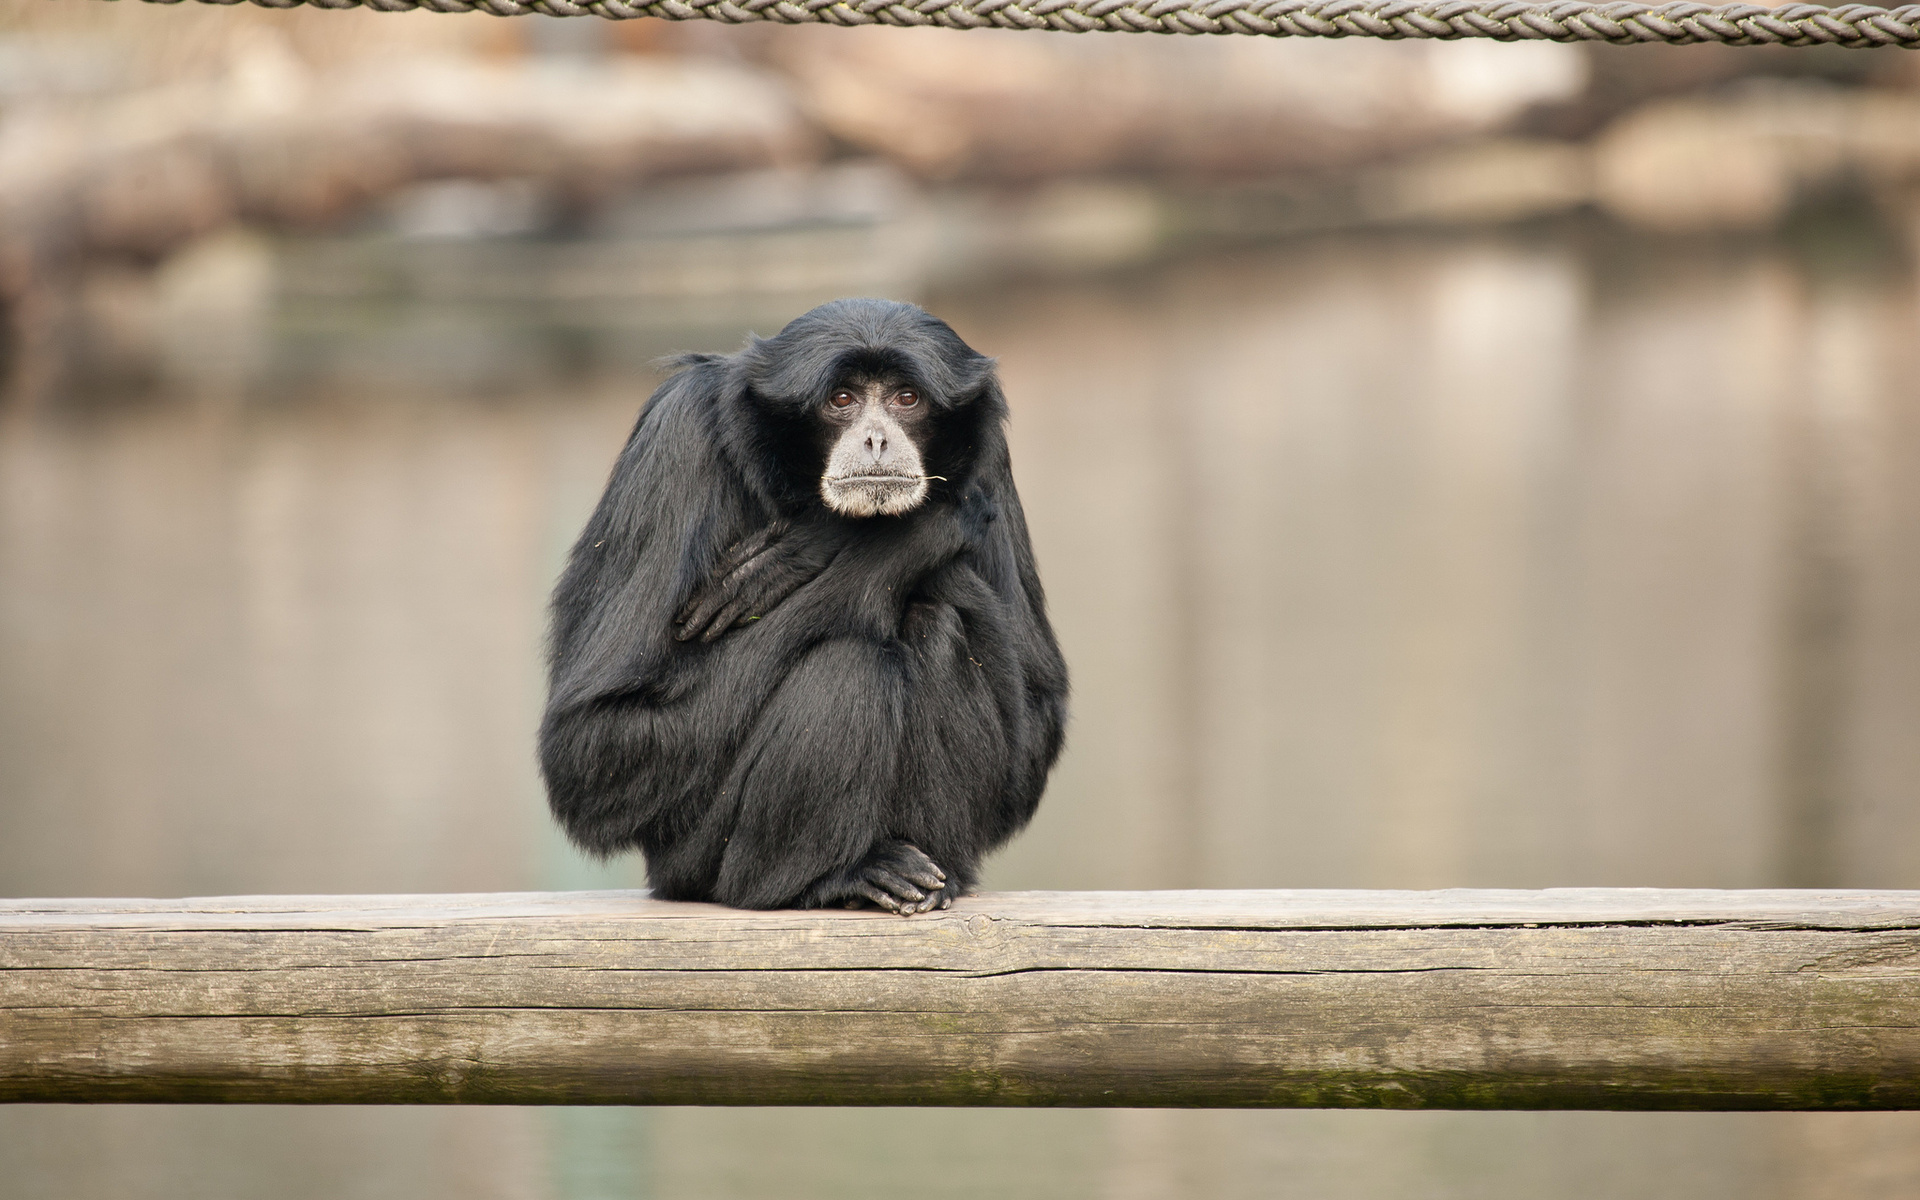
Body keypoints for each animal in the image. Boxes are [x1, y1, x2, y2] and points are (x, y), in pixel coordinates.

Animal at [538, 298, 1068, 913]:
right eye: (841, 400)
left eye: (906, 398)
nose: (876, 440)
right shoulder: (679, 431)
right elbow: (593, 744)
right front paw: (871, 537)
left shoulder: (991, 456)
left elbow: (1036, 723)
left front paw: (829, 542)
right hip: (695, 855)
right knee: (852, 661)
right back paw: (832, 877)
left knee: (936, 623)